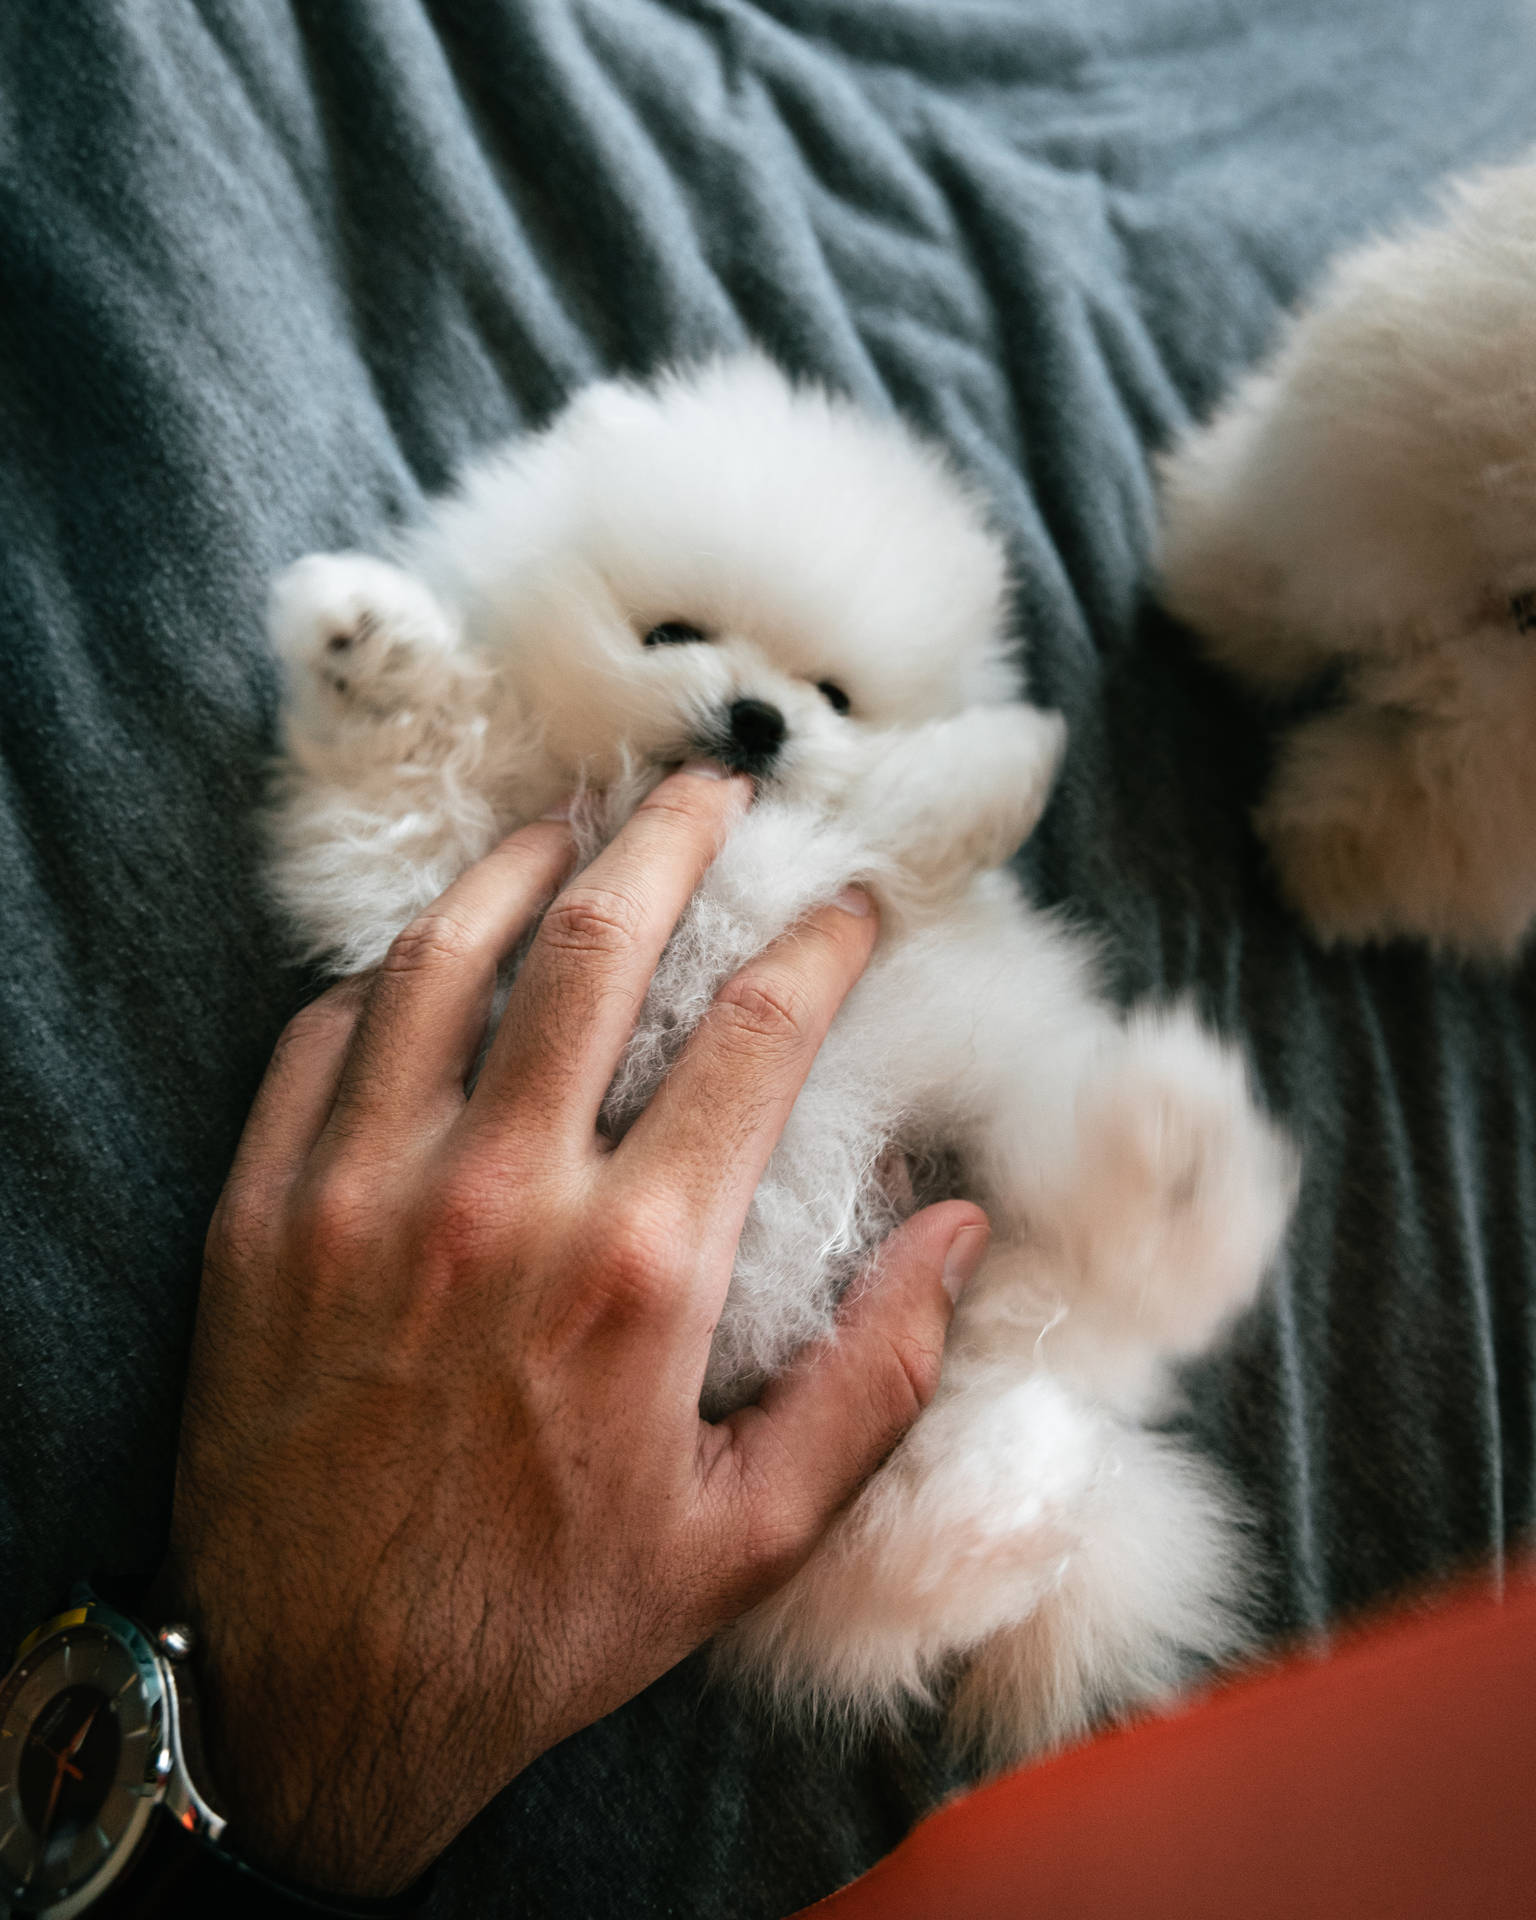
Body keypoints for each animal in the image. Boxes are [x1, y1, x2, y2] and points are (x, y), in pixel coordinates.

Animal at [266, 357, 1297, 1766]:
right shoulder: (441, 869)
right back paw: (1017, 1491)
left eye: (836, 695)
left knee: (1122, 1278)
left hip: (1000, 1161)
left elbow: (911, 826)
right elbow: (418, 756)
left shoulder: (885, 894)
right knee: (889, 1580)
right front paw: (361, 640)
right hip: (834, 1459)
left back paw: (1177, 1162)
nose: (758, 718)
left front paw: (1000, 758)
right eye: (669, 633)